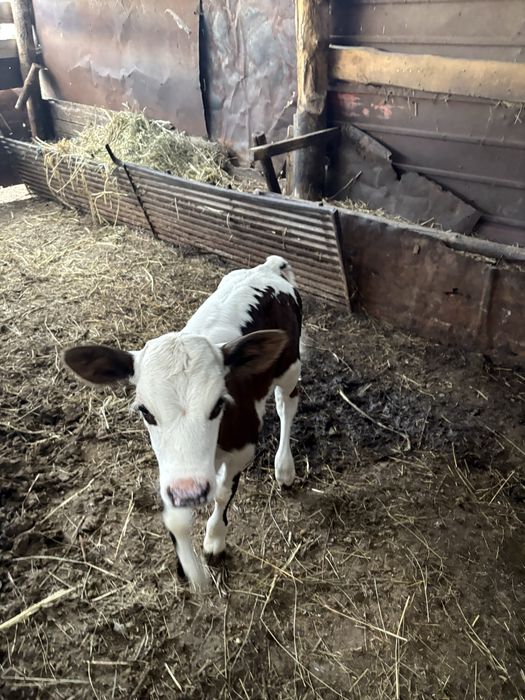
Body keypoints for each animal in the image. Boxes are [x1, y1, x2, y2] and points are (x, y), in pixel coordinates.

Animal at [63, 255, 302, 591]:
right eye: (146, 412)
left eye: (218, 404)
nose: (190, 493)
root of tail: (267, 267)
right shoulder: (175, 473)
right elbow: (175, 518)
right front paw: (191, 570)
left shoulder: (241, 447)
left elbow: (222, 493)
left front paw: (215, 540)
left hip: (289, 365)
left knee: (286, 405)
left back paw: (284, 467)